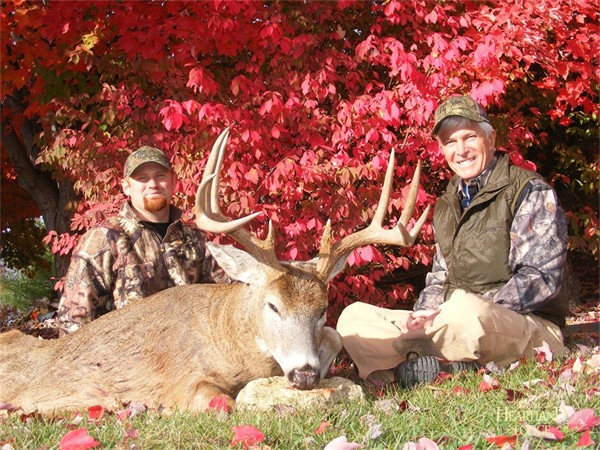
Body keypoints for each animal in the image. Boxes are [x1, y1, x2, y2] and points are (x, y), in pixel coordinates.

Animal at [1, 128, 432, 414]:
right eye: (272, 306)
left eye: (323, 308)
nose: (304, 376)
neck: (231, 337)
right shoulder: (181, 381)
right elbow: (224, 402)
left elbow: (336, 338)